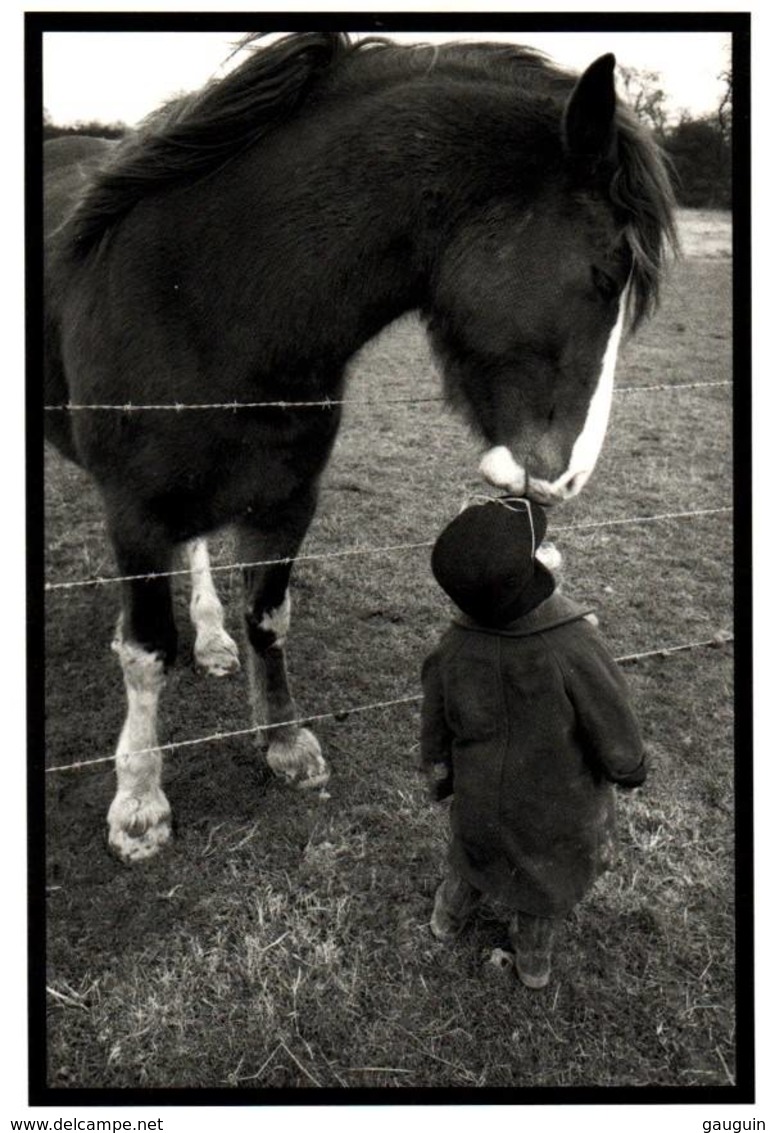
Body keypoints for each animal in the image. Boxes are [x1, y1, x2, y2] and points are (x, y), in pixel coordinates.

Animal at [42, 31, 675, 856]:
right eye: (604, 274)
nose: (566, 478)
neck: (203, 299)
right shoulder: (135, 516)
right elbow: (147, 652)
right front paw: (140, 801)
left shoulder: (286, 502)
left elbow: (267, 619)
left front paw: (283, 742)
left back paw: (211, 636)